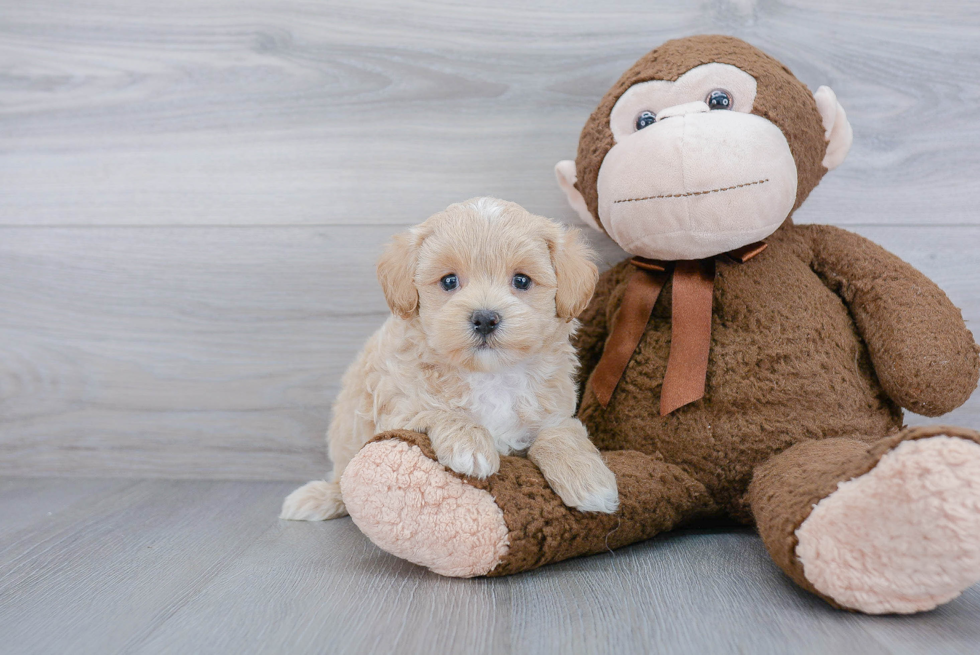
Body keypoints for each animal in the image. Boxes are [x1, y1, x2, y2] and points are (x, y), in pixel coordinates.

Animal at [284, 200, 616, 524]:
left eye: (522, 280)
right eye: (449, 281)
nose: (485, 318)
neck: (489, 374)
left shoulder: (554, 410)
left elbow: (560, 433)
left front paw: (588, 480)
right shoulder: (399, 404)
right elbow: (436, 410)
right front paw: (470, 444)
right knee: (343, 480)